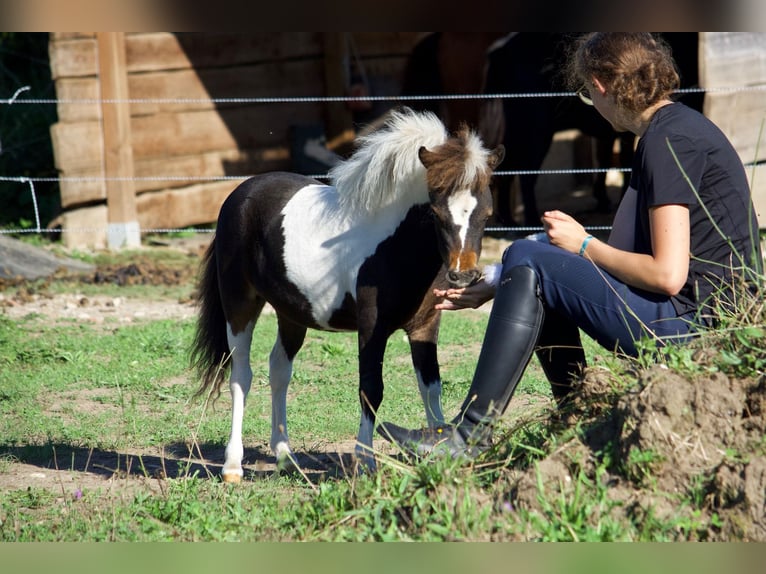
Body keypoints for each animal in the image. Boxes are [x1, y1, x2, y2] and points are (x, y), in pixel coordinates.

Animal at [190, 109, 508, 482]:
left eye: (487, 213)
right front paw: (366, 462)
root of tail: (239, 194)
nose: (463, 274)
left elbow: (431, 388)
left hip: (291, 314)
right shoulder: (372, 327)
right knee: (241, 376)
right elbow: (371, 389)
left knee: (279, 369)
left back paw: (285, 457)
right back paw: (232, 466)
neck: (396, 245)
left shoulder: (425, 326)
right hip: (240, 306)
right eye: (435, 212)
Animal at [404, 32, 704, 227]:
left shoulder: (611, 132)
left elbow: (607, 158)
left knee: (506, 169)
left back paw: (509, 219)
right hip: (533, 130)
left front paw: (604, 200)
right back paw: (528, 219)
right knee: (524, 172)